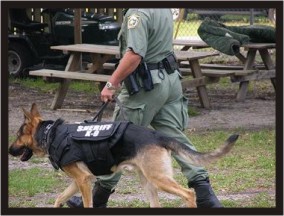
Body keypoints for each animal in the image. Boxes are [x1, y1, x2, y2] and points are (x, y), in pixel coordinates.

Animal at [8, 104, 239, 208]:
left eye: (18, 136)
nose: (9, 150)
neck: (50, 134)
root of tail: (157, 135)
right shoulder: (80, 180)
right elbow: (59, 198)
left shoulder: (82, 180)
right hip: (148, 183)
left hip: (158, 179)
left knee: (189, 194)